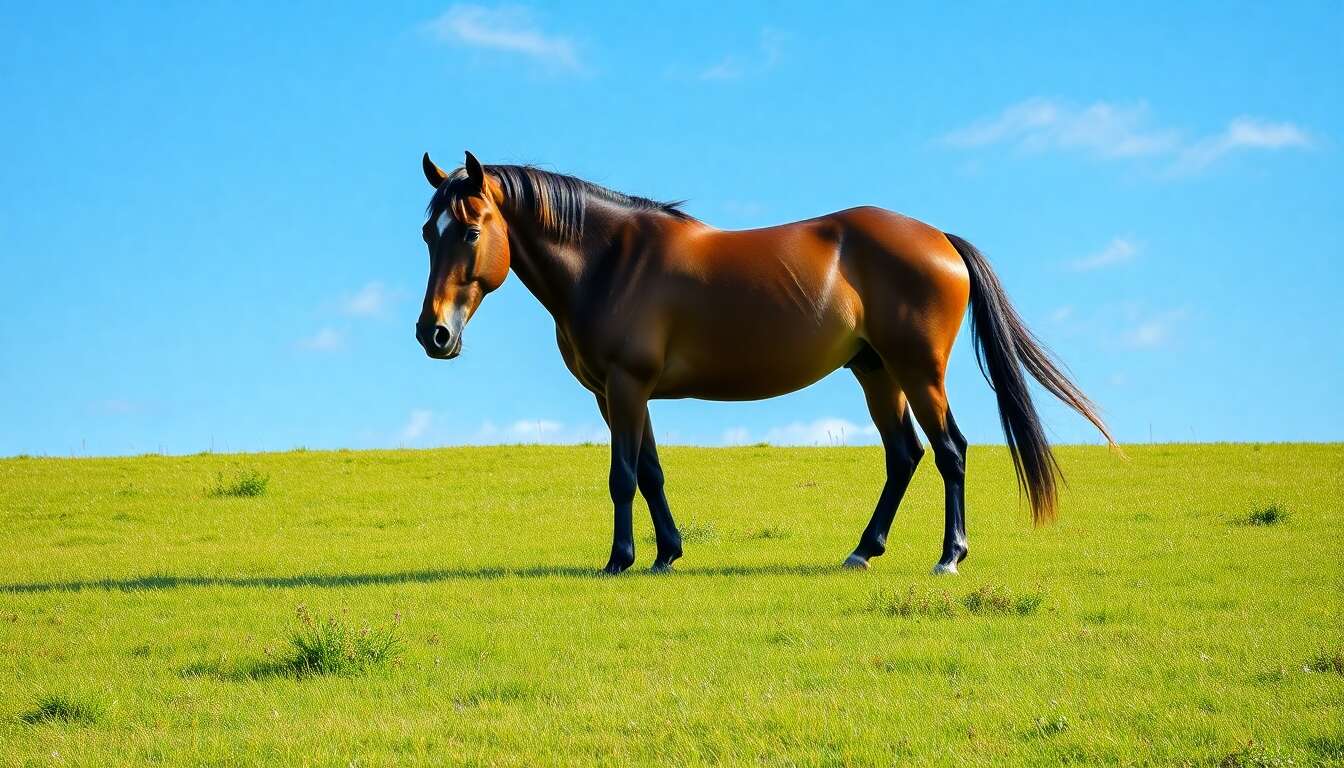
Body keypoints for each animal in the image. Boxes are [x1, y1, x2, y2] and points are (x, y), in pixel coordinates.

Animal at [416, 151, 1115, 575]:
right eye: (428, 234)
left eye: (471, 231)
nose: (433, 333)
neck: (610, 261)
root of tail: (940, 237)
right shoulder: (620, 394)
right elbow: (652, 473)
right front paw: (667, 554)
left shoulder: (625, 386)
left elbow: (623, 475)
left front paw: (620, 559)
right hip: (876, 372)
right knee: (904, 455)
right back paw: (863, 551)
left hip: (919, 373)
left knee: (950, 451)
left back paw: (949, 556)